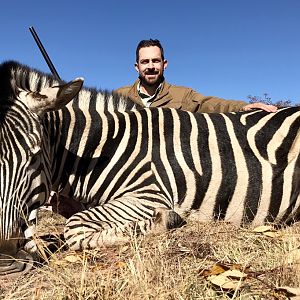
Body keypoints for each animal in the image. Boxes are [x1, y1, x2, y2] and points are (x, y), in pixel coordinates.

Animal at [0, 60, 298, 274]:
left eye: (34, 155)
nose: (5, 257)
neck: (106, 147)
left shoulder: (150, 194)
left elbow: (74, 227)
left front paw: (166, 221)